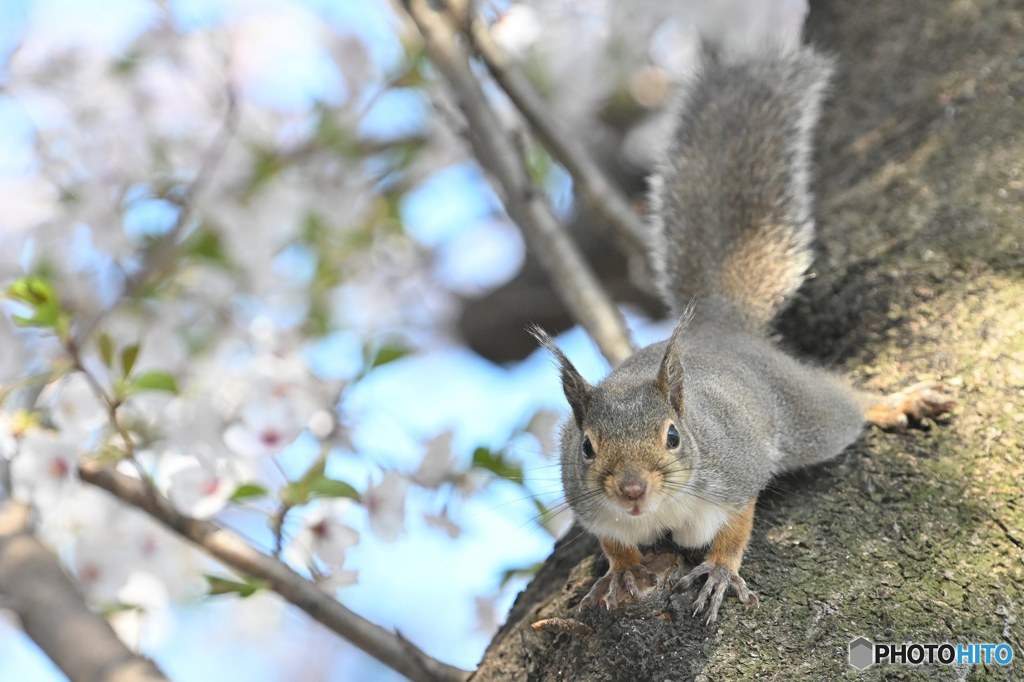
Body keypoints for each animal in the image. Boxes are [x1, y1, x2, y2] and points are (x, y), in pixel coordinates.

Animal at [532, 45, 954, 622]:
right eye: (587, 448)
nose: (633, 490)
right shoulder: (592, 506)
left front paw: (719, 571)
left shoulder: (735, 471)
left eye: (673, 436)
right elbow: (614, 542)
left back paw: (896, 402)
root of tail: (718, 327)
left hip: (808, 414)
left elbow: (737, 525)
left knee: (844, 406)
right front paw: (620, 573)